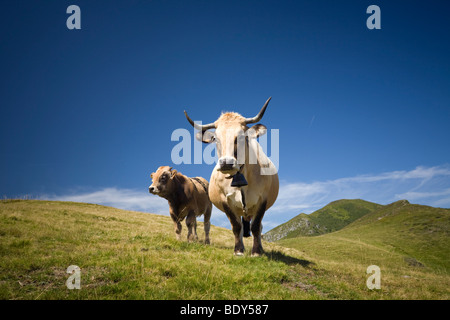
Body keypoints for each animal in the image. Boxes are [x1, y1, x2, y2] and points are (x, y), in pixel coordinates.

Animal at [184, 97, 278, 258]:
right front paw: (238, 250)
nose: (226, 163)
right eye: (215, 138)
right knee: (240, 226)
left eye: (242, 136)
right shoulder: (225, 201)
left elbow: (256, 227)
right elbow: (236, 226)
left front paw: (256, 252)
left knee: (258, 228)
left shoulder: (262, 199)